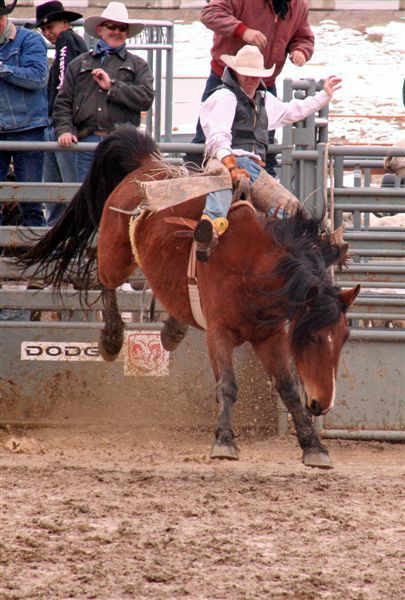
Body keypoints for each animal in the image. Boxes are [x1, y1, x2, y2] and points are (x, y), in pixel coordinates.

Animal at [20, 123, 358, 468]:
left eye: (344, 338)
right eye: (312, 337)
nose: (322, 404)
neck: (254, 264)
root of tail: (147, 164)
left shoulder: (270, 336)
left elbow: (287, 389)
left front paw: (313, 446)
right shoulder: (219, 333)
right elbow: (227, 385)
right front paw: (224, 442)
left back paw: (172, 331)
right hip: (115, 255)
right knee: (106, 283)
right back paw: (112, 340)